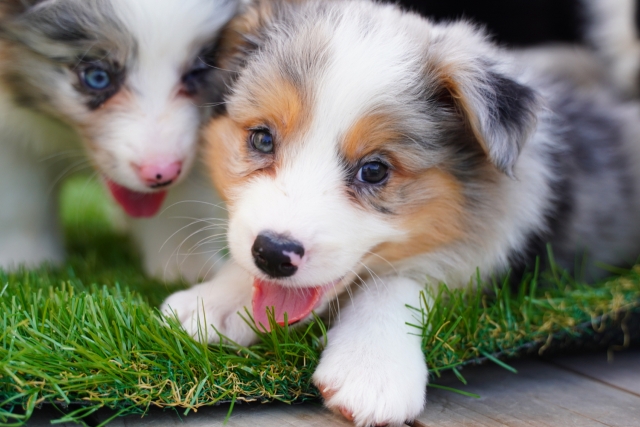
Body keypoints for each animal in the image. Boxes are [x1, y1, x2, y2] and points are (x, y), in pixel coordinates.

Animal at [0, 0, 242, 280]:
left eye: (198, 72)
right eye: (97, 77)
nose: (161, 173)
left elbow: (180, 207)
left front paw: (185, 269)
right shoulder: (12, 139)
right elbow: (22, 201)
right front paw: (24, 263)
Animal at [161, 0, 640, 426]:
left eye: (375, 170)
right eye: (261, 138)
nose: (275, 254)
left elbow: (396, 281)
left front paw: (370, 369)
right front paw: (213, 303)